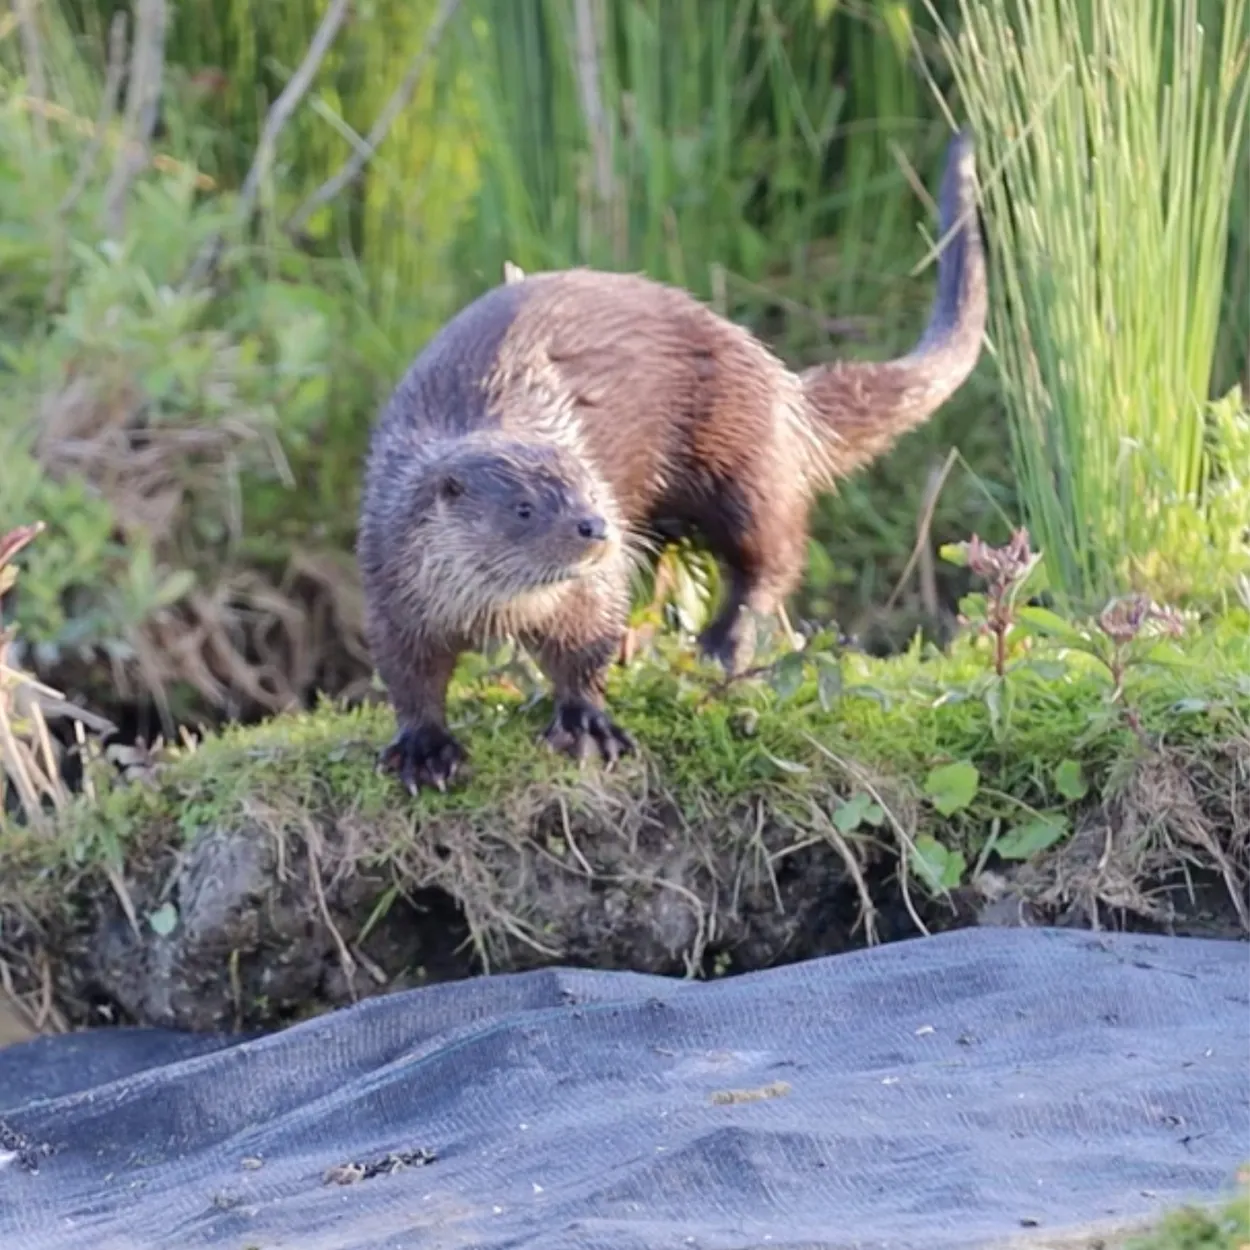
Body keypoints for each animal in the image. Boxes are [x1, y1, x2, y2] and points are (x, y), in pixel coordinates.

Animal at [358, 128, 988, 793]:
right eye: (524, 508)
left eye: (591, 490)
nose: (593, 527)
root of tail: (777, 382)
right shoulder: (390, 587)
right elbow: (408, 676)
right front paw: (425, 747)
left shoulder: (589, 592)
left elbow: (586, 650)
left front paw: (586, 724)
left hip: (741, 461)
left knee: (772, 554)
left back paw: (723, 644)